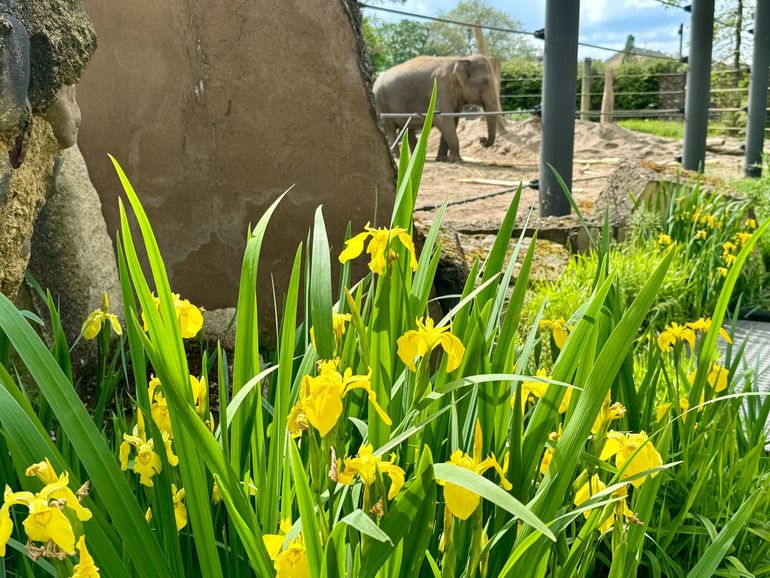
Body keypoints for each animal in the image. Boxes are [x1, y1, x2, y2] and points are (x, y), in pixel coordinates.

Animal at [374, 54, 504, 162]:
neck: (461, 58)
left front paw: (442, 159)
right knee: (390, 128)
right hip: (381, 103)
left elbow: (453, 121)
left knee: (408, 129)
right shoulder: (440, 88)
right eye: (485, 82)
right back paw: (397, 157)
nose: (482, 140)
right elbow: (443, 120)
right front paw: (456, 160)